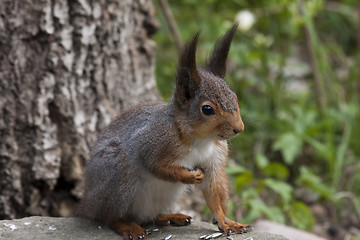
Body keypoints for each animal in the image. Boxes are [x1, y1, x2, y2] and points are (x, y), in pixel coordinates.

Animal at [78, 23, 253, 240]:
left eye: (234, 98)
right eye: (207, 109)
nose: (239, 128)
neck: (201, 139)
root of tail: (88, 204)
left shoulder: (216, 158)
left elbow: (214, 192)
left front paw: (227, 222)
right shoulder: (150, 143)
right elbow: (156, 166)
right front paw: (189, 176)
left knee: (149, 216)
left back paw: (170, 217)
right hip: (117, 175)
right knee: (110, 217)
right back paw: (127, 226)